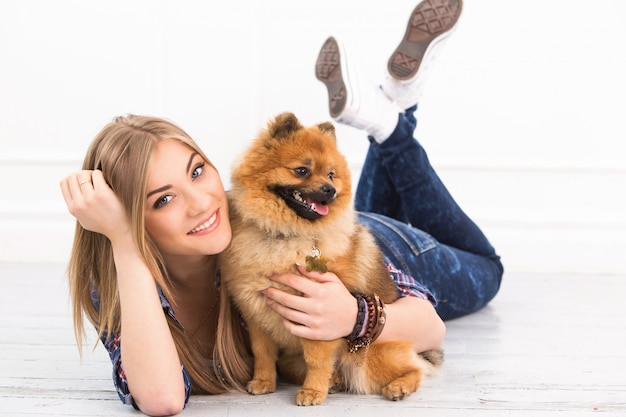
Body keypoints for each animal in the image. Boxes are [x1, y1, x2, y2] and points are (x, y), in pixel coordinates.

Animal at [219, 112, 438, 404]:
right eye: (302, 170)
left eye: (331, 174)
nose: (330, 189)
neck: (285, 235)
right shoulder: (256, 314)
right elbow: (262, 354)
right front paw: (263, 381)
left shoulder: (317, 319)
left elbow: (316, 359)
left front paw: (312, 391)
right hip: (292, 360)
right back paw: (335, 381)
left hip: (371, 355)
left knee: (415, 369)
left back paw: (399, 386)